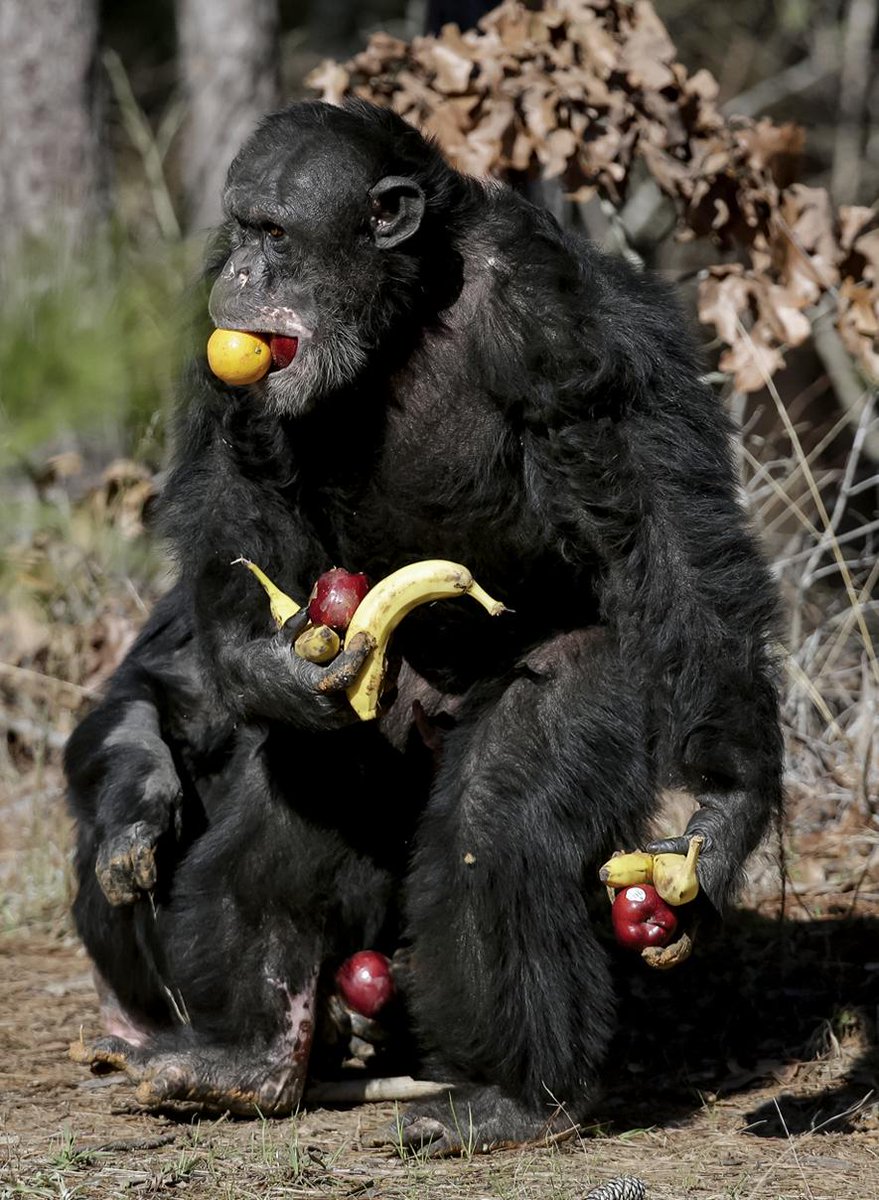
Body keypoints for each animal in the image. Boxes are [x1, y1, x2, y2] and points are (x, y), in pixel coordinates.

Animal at [66, 100, 782, 1152]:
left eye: (278, 234)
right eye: (241, 231)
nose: (244, 274)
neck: (398, 319)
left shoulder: (563, 321)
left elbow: (661, 527)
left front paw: (725, 808)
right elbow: (240, 499)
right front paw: (253, 671)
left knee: (500, 816)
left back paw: (515, 1095)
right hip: (374, 686)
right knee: (309, 777)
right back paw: (253, 1054)